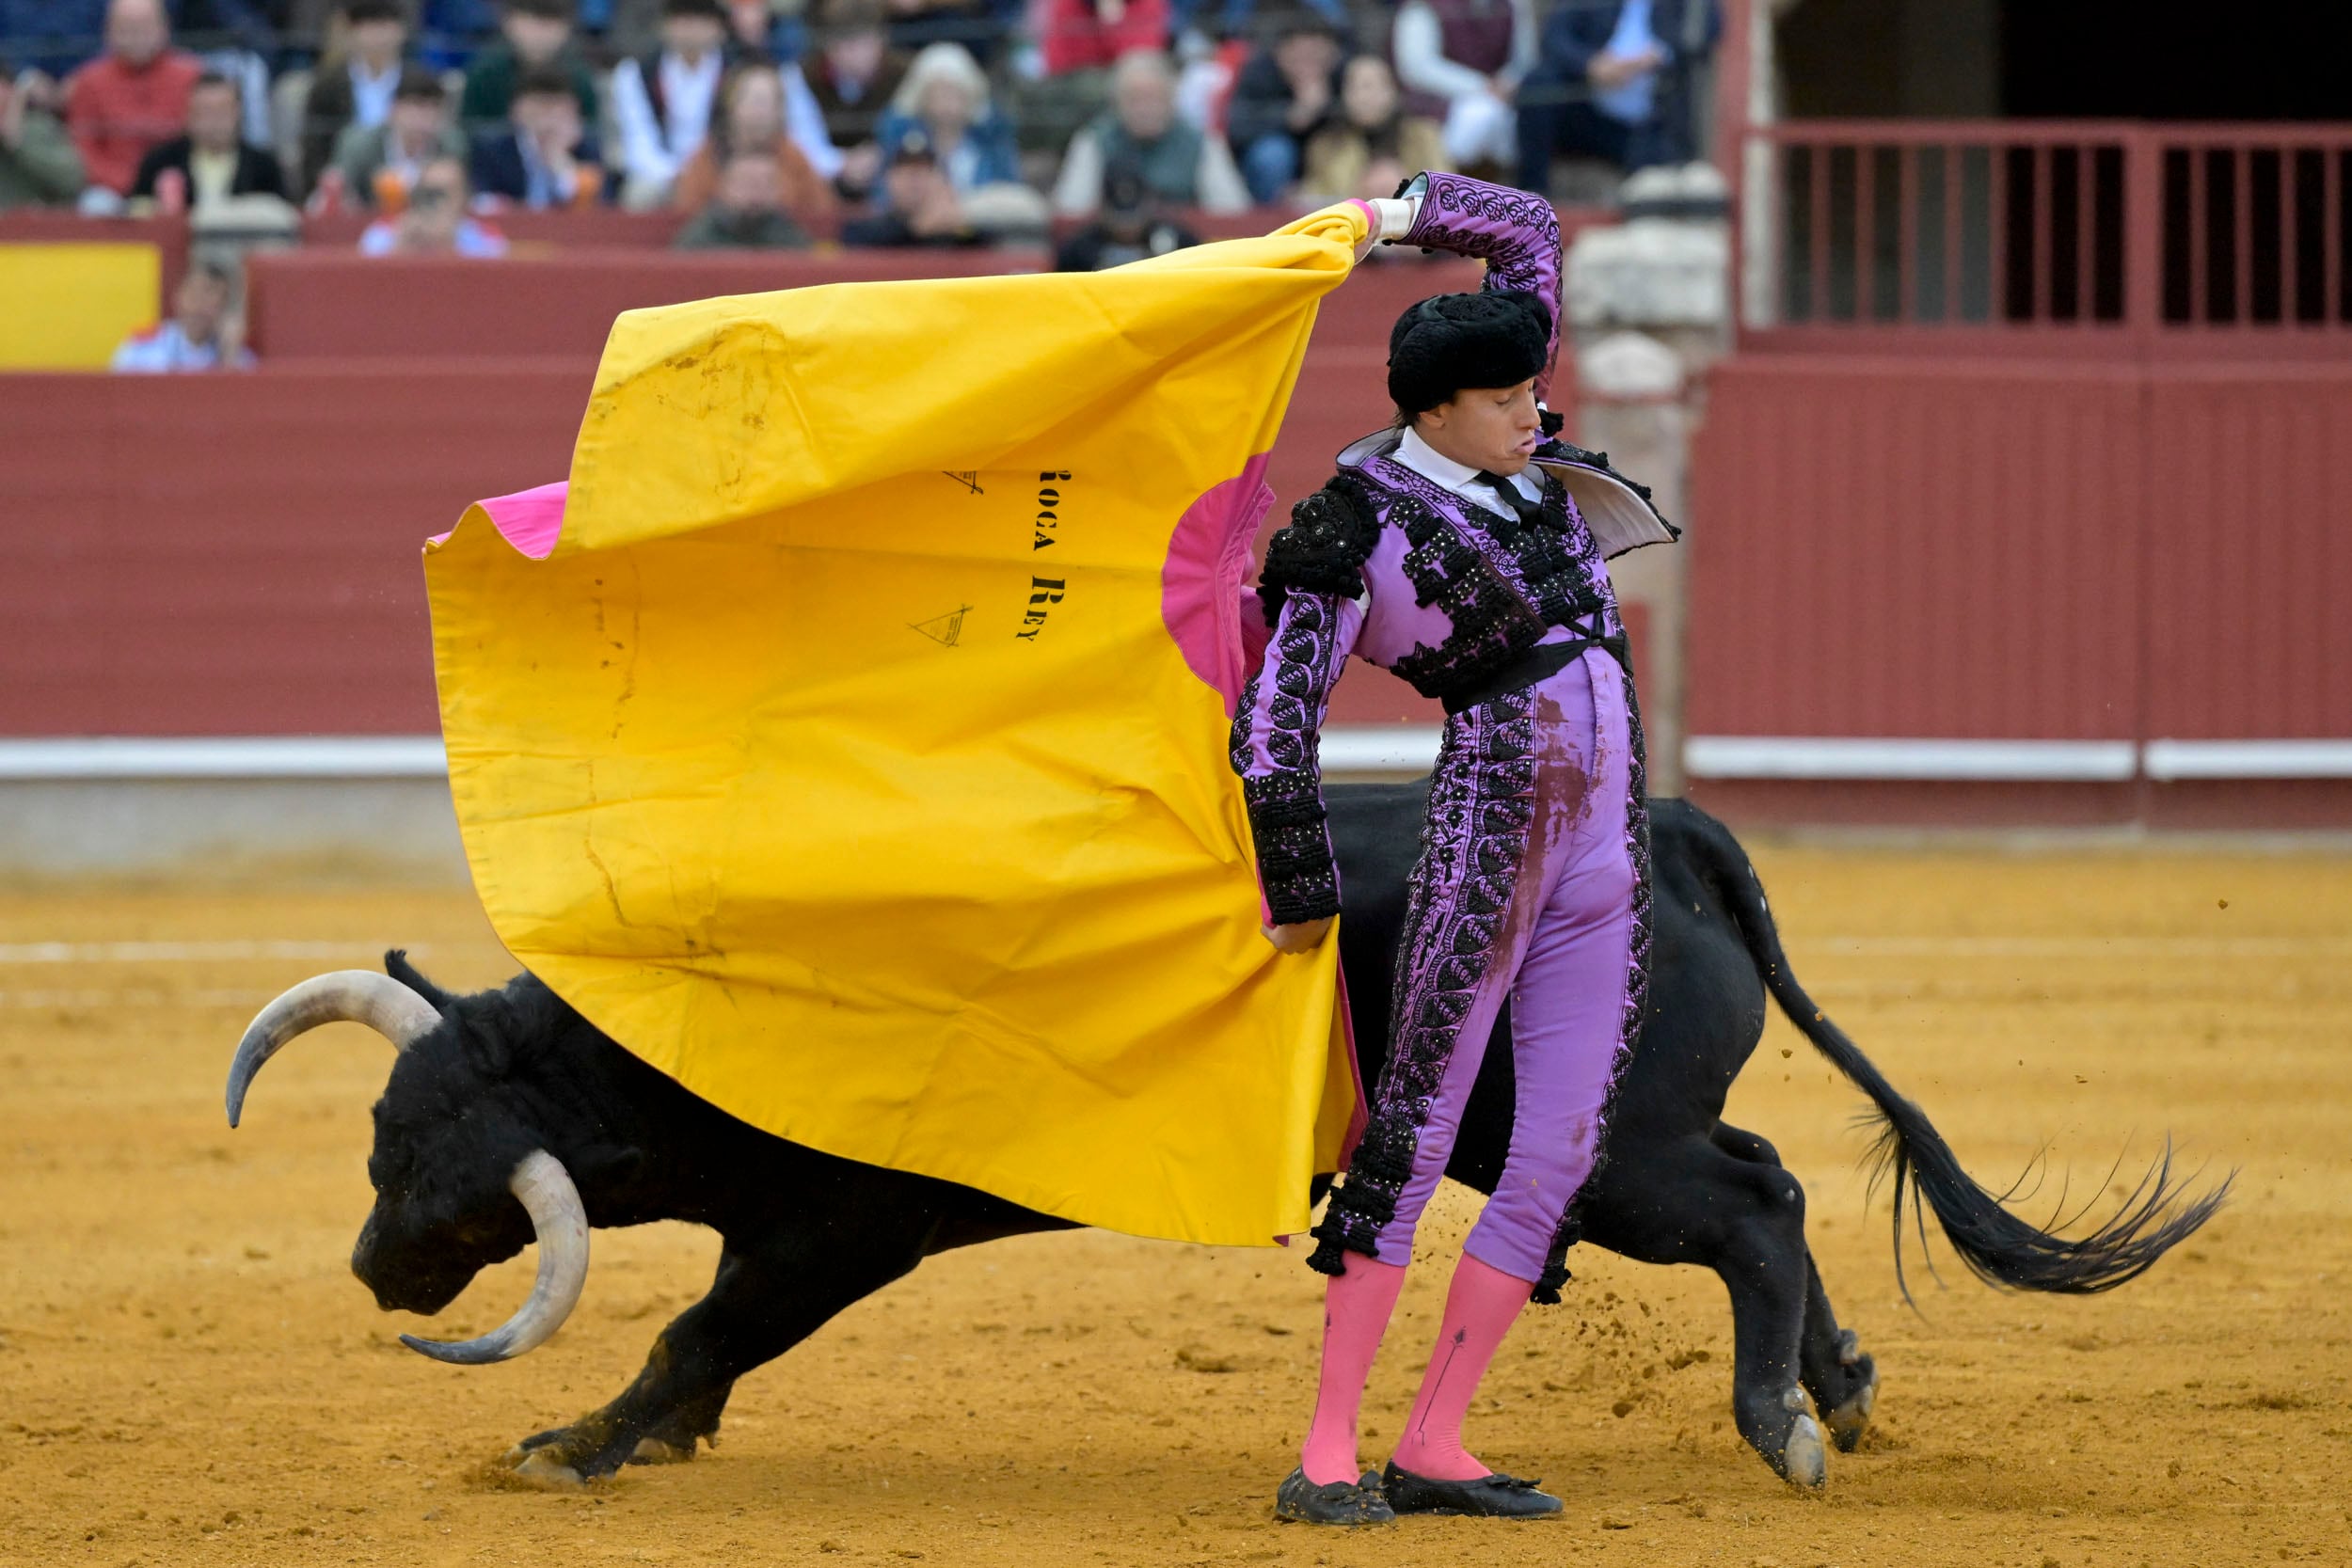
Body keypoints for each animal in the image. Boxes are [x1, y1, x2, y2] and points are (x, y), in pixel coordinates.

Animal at [224, 789, 2220, 1495]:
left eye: (443, 1183)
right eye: (386, 1137)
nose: (373, 1266)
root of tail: (1669, 828)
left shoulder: (838, 1231)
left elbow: (697, 1325)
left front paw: (571, 1444)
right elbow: (704, 1336)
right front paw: (647, 1437)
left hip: (1603, 1150)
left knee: (1754, 1201)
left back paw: (1782, 1424)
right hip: (1629, 1126)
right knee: (1775, 1192)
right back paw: (1846, 1385)